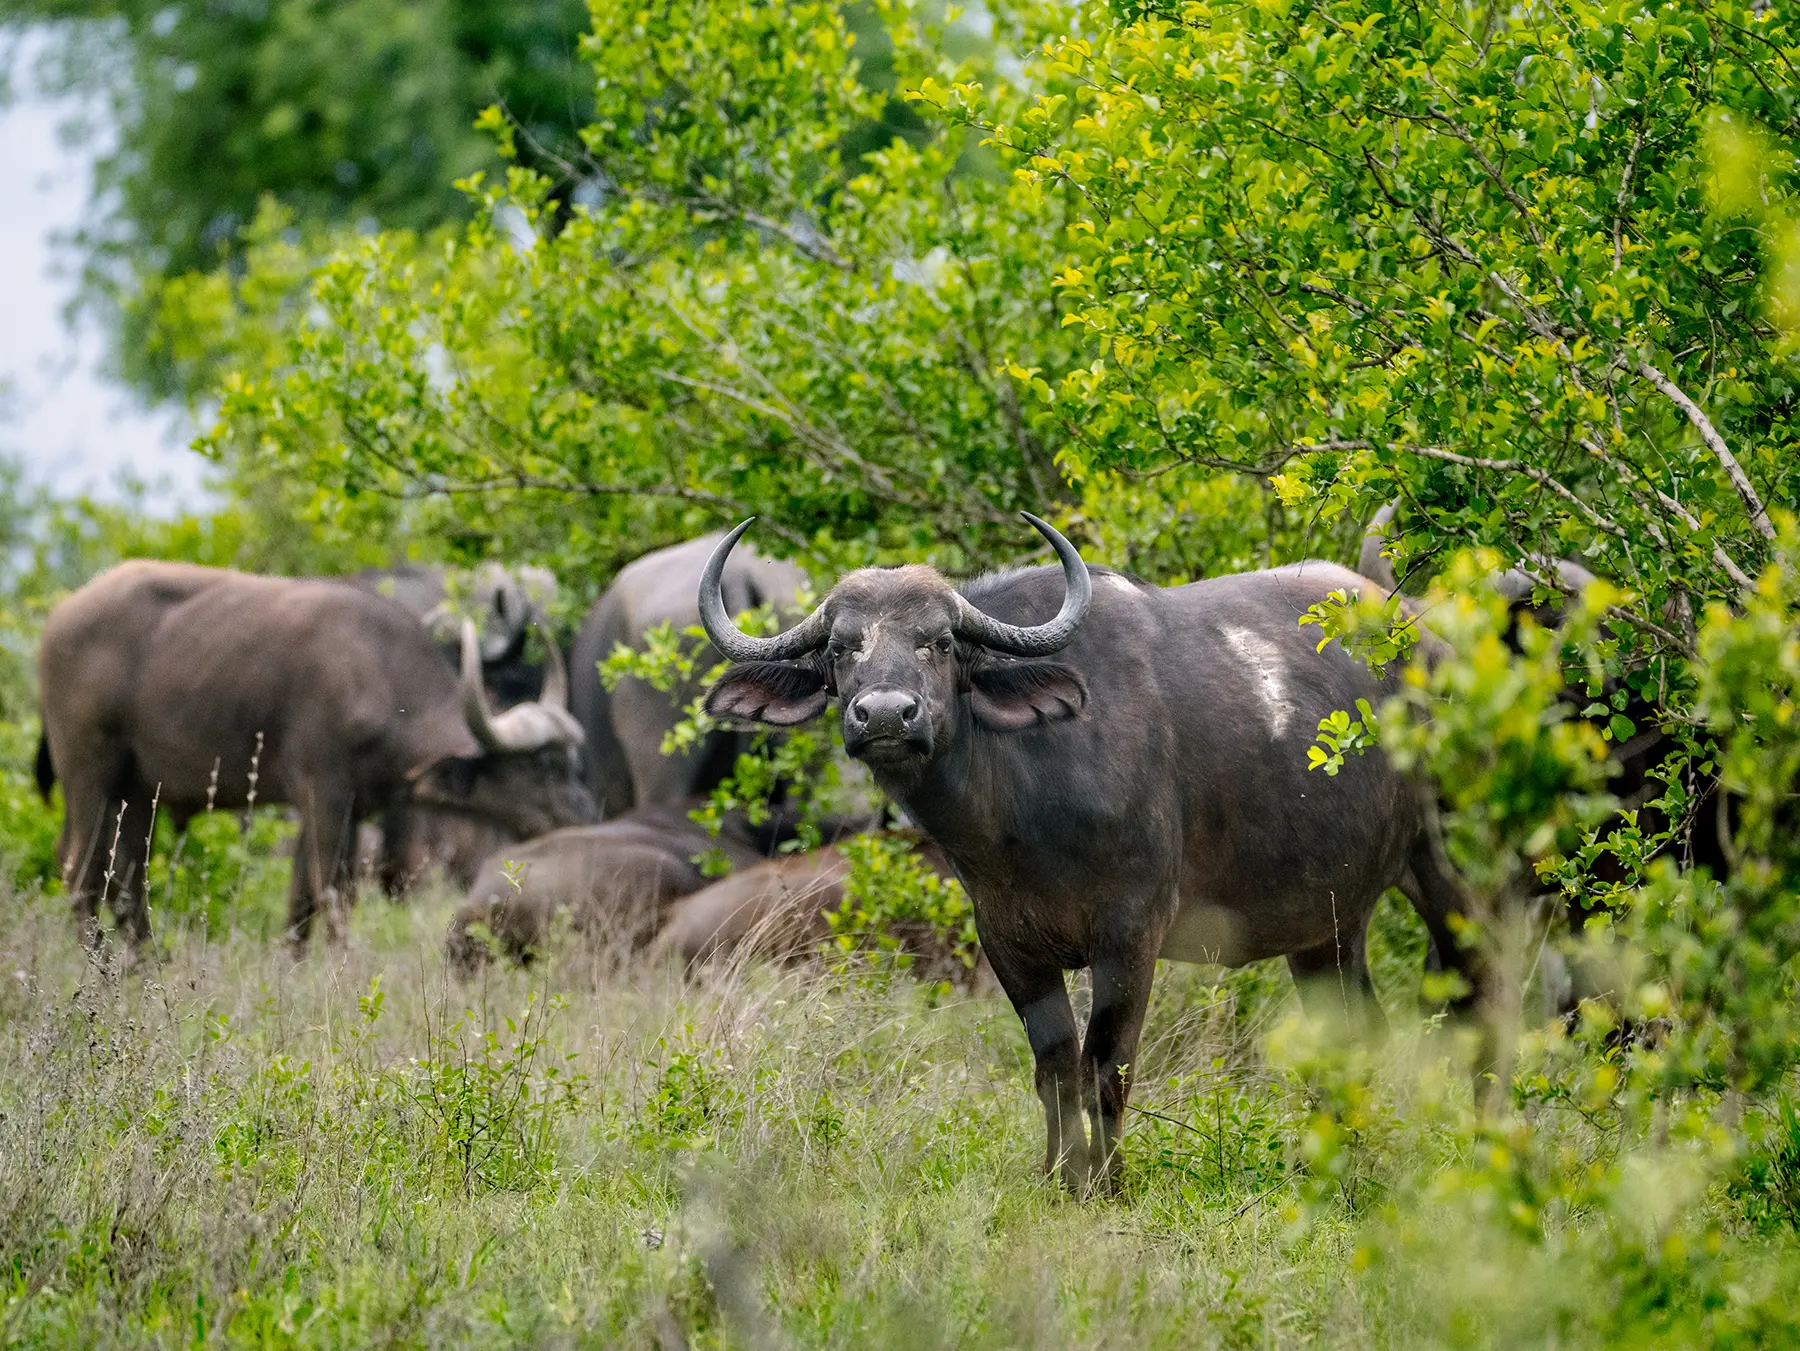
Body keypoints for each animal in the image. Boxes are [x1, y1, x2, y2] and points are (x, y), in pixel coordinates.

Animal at [37, 561, 596, 951]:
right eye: (543, 765)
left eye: (574, 758)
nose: (586, 813)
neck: (379, 677)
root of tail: (59, 619)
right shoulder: (322, 795)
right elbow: (334, 890)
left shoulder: (340, 807)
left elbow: (301, 898)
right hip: (89, 774)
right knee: (80, 871)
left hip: (137, 793)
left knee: (126, 875)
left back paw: (145, 962)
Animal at [700, 515, 1476, 1191]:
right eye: (841, 646)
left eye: (941, 641)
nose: (887, 714)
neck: (1022, 816)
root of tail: (1429, 644)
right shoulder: (1009, 942)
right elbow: (1054, 1065)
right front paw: (1058, 1175)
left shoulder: (1130, 935)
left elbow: (1107, 1062)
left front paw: (1107, 1182)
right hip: (1328, 925)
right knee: (1355, 1029)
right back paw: (1338, 1159)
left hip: (1453, 875)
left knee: (1478, 993)